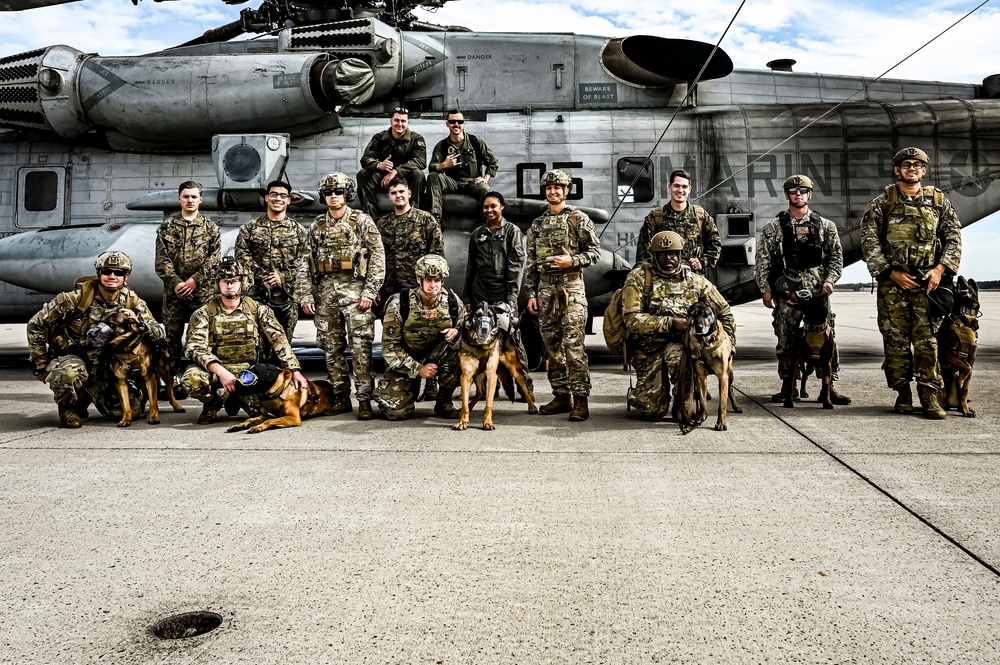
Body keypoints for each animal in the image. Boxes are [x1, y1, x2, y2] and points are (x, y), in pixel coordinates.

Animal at [456, 300, 536, 430]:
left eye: (490, 316)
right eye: (477, 315)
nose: (484, 328)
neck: (480, 346)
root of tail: (506, 333)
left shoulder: (491, 376)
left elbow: (488, 404)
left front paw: (488, 422)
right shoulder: (466, 377)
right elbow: (464, 405)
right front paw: (463, 421)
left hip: (515, 371)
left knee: (525, 388)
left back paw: (532, 406)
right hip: (477, 375)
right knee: (480, 392)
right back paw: (470, 406)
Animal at [676, 298, 740, 434]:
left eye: (705, 315)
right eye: (692, 315)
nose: (699, 327)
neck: (706, 342)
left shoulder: (722, 377)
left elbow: (722, 403)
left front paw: (721, 423)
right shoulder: (700, 377)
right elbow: (702, 399)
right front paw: (699, 418)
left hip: (730, 374)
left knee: (730, 389)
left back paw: (736, 406)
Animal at [932, 274, 980, 416]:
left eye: (970, 283)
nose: (960, 277)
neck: (964, 314)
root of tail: (947, 402)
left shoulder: (971, 359)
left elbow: (965, 389)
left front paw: (966, 410)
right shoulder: (946, 351)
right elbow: (966, 367)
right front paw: (960, 381)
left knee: (959, 398)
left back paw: (963, 408)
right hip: (939, 387)